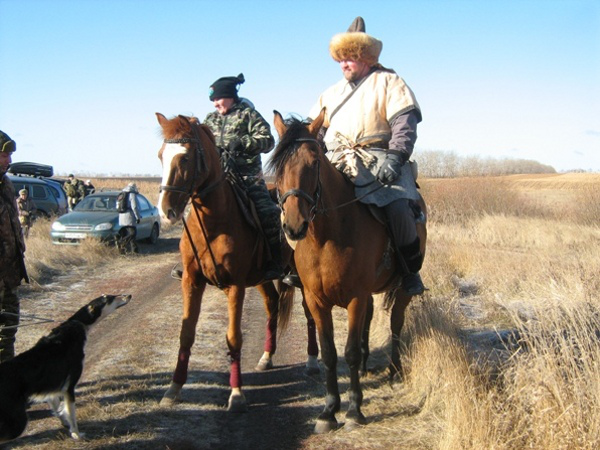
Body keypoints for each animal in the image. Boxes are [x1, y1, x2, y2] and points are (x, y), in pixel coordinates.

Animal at [0, 294, 131, 442]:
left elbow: (59, 410)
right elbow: (72, 416)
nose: (129, 295)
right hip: (18, 422)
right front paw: (77, 435)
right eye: (110, 298)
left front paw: (65, 424)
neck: (77, 324)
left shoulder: (52, 389)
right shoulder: (69, 387)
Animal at [156, 113, 304, 412]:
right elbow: (186, 333)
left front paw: (236, 393)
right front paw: (174, 388)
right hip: (260, 279)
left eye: (185, 158)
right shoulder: (191, 281)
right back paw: (266, 356)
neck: (213, 223)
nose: (165, 212)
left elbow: (234, 337)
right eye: (160, 156)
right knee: (272, 304)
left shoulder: (234, 286)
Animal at [268, 110, 426, 432]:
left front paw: (354, 410)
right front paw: (329, 411)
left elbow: (349, 351)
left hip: (400, 291)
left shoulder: (355, 297)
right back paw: (366, 368)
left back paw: (393, 370)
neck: (328, 237)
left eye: (314, 162)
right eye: (278, 166)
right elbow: (329, 353)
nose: (294, 225)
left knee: (396, 324)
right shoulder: (317, 301)